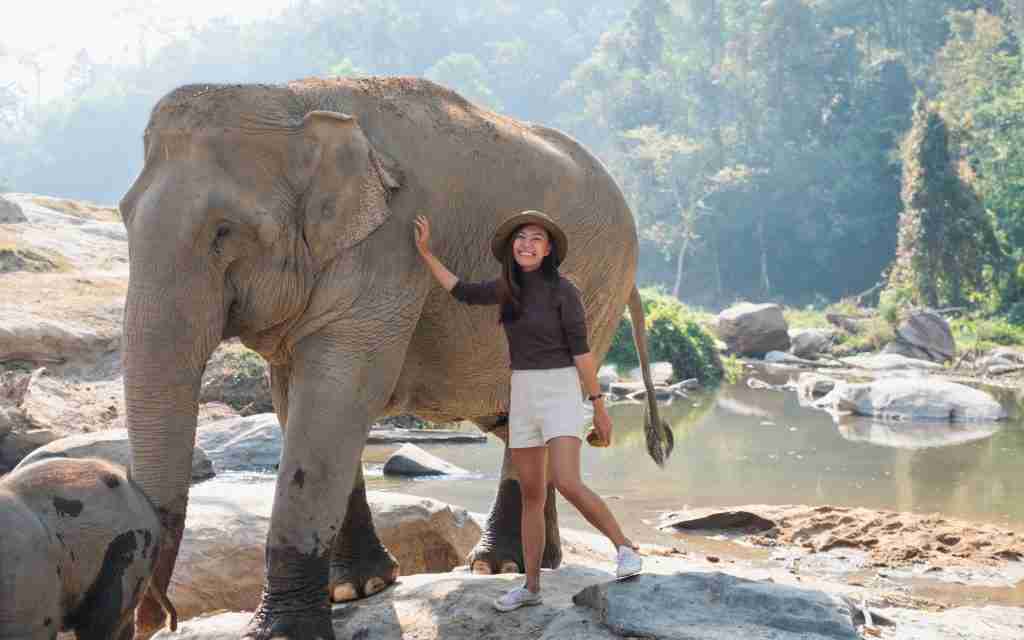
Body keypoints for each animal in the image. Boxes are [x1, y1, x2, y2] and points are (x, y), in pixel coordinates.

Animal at [119, 76, 675, 638]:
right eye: (124, 216)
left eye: (223, 231)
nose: (158, 618)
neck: (292, 99)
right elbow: (298, 403)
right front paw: (356, 589)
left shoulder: (386, 252)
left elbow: (338, 397)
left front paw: (282, 632)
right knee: (512, 422)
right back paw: (532, 562)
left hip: (600, 289)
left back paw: (500, 566)